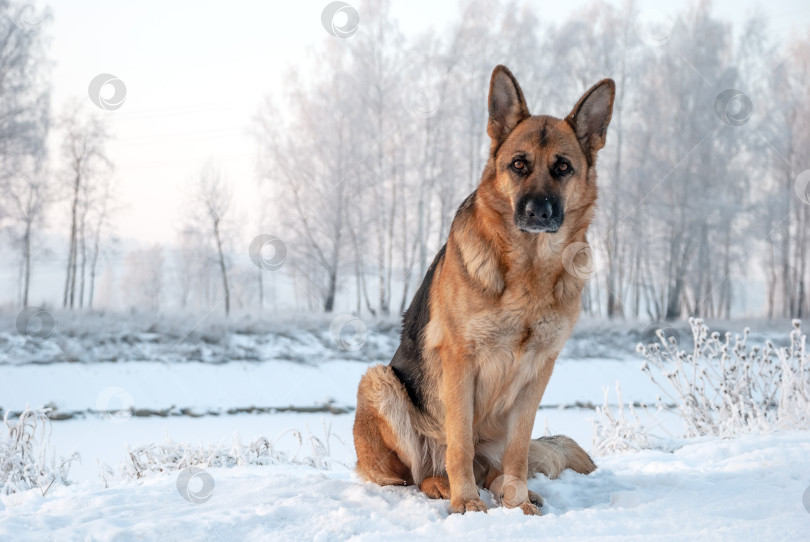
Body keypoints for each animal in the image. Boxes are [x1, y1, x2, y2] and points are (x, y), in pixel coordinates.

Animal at [354, 66, 612, 516]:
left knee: (495, 465)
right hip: (379, 383)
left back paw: (515, 491)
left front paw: (518, 504)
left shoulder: (539, 370)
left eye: (562, 167)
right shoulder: (461, 361)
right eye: (519, 165)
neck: (528, 269)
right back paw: (445, 486)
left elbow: (519, 451)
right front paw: (467, 503)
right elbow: (459, 443)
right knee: (419, 475)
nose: (538, 212)